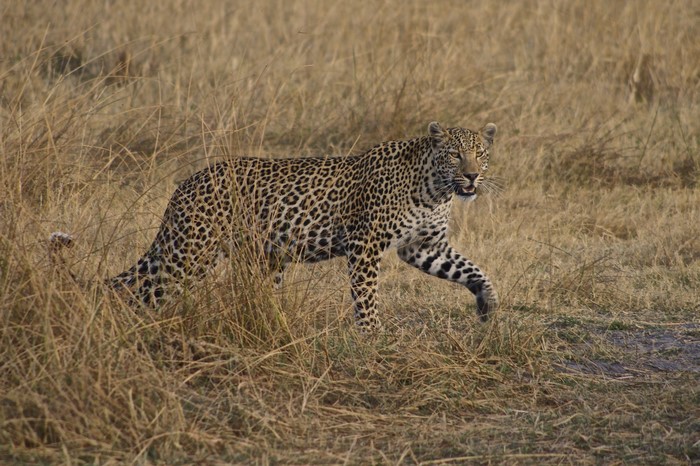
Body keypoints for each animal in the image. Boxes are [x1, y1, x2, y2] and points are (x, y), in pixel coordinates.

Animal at [51, 122, 499, 332]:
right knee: (143, 293)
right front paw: (373, 335)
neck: (435, 189)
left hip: (261, 258)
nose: (472, 177)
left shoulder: (424, 247)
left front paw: (488, 305)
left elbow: (472, 269)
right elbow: (366, 296)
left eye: (480, 153)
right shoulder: (365, 244)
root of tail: (184, 185)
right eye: (455, 155)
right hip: (188, 255)